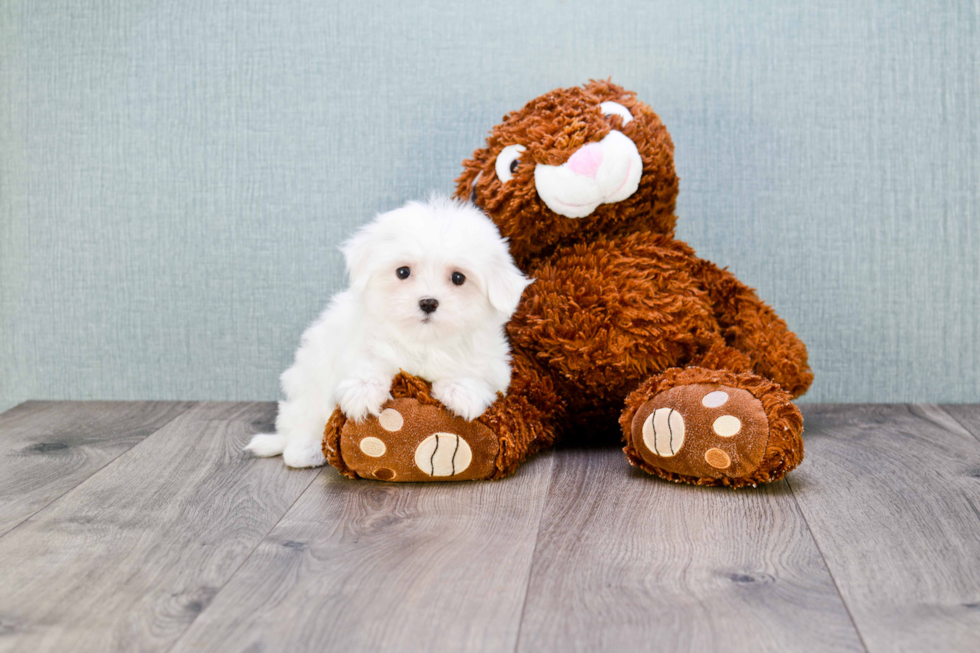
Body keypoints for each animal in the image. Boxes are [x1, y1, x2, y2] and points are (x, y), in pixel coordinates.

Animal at [249, 196, 532, 466]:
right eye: (403, 272)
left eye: (458, 278)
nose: (428, 302)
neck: (423, 342)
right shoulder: (352, 344)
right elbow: (369, 360)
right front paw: (363, 390)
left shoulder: (494, 364)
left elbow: (476, 372)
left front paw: (461, 390)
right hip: (305, 385)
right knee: (300, 420)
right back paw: (304, 450)